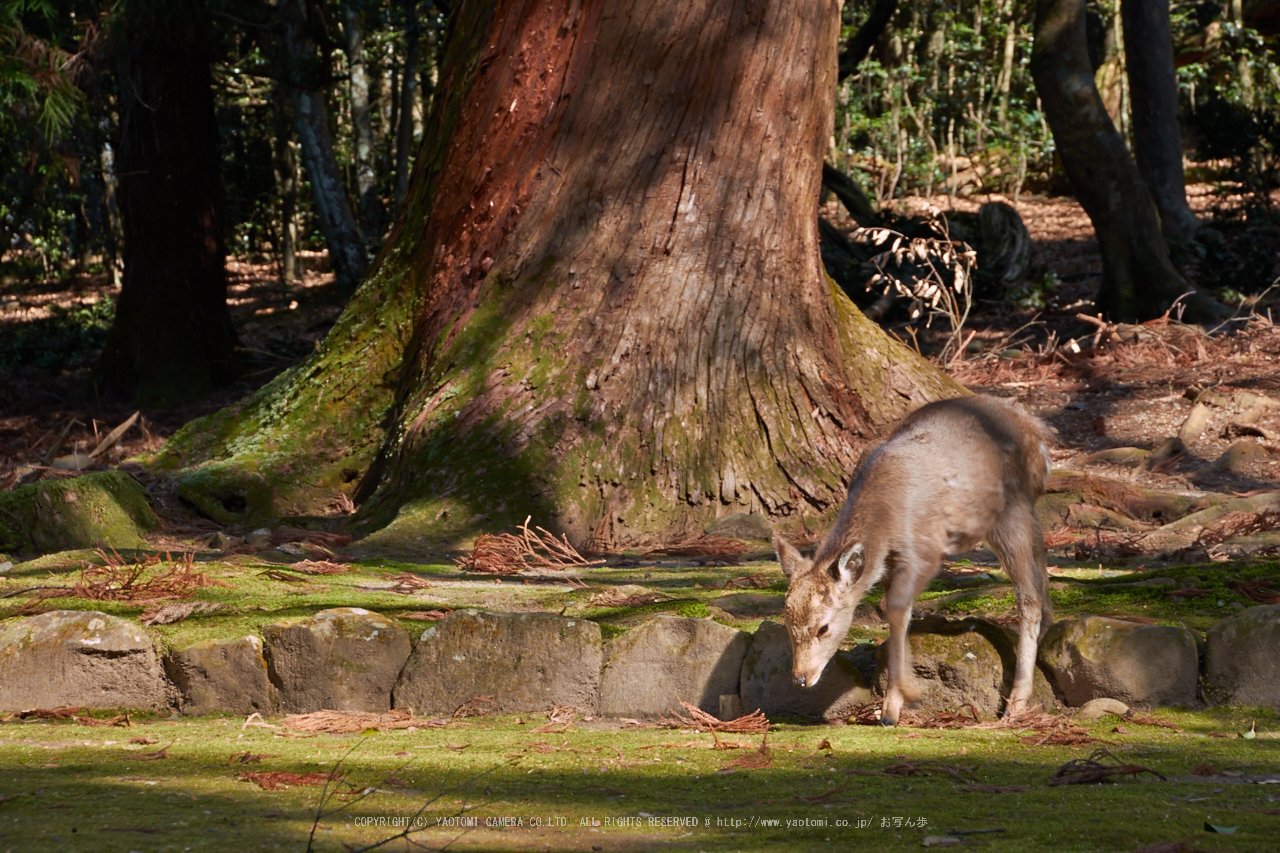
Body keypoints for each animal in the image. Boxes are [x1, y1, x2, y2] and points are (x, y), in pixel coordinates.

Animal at [773, 394, 1054, 722]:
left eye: (823, 628)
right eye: (787, 623)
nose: (800, 678)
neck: (886, 514)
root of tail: (1038, 434)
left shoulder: (925, 551)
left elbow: (895, 608)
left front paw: (898, 703)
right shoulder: (888, 564)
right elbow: (898, 610)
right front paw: (893, 702)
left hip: (1010, 509)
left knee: (1027, 593)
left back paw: (1016, 703)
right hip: (1026, 507)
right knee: (1040, 555)